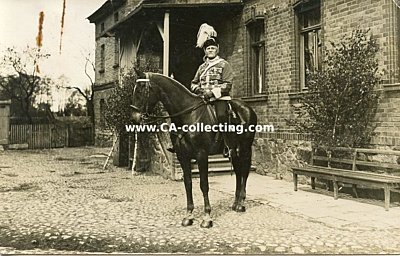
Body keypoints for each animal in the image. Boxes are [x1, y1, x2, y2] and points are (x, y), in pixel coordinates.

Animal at [131, 71, 256, 228]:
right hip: (234, 151)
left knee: (244, 173)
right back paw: (235, 202)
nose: (134, 119)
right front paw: (188, 215)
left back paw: (241, 204)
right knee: (239, 173)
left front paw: (207, 217)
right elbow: (188, 184)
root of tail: (247, 108)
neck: (188, 115)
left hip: (245, 148)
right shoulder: (182, 156)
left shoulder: (201, 155)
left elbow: (204, 184)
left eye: (141, 90)